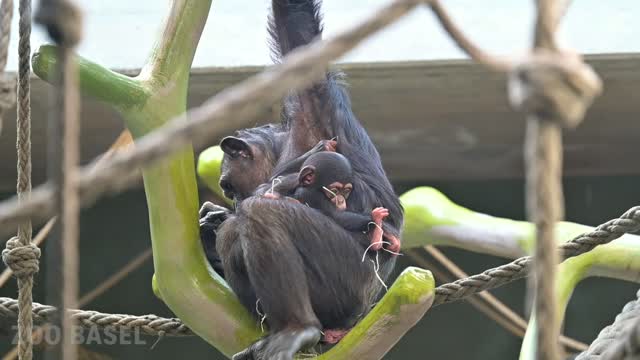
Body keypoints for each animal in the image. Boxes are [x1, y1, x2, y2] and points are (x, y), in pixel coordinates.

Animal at [256, 150, 398, 252]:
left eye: (346, 191)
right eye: (334, 190)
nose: (341, 200)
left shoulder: (291, 180)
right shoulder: (313, 195)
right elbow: (337, 216)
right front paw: (377, 218)